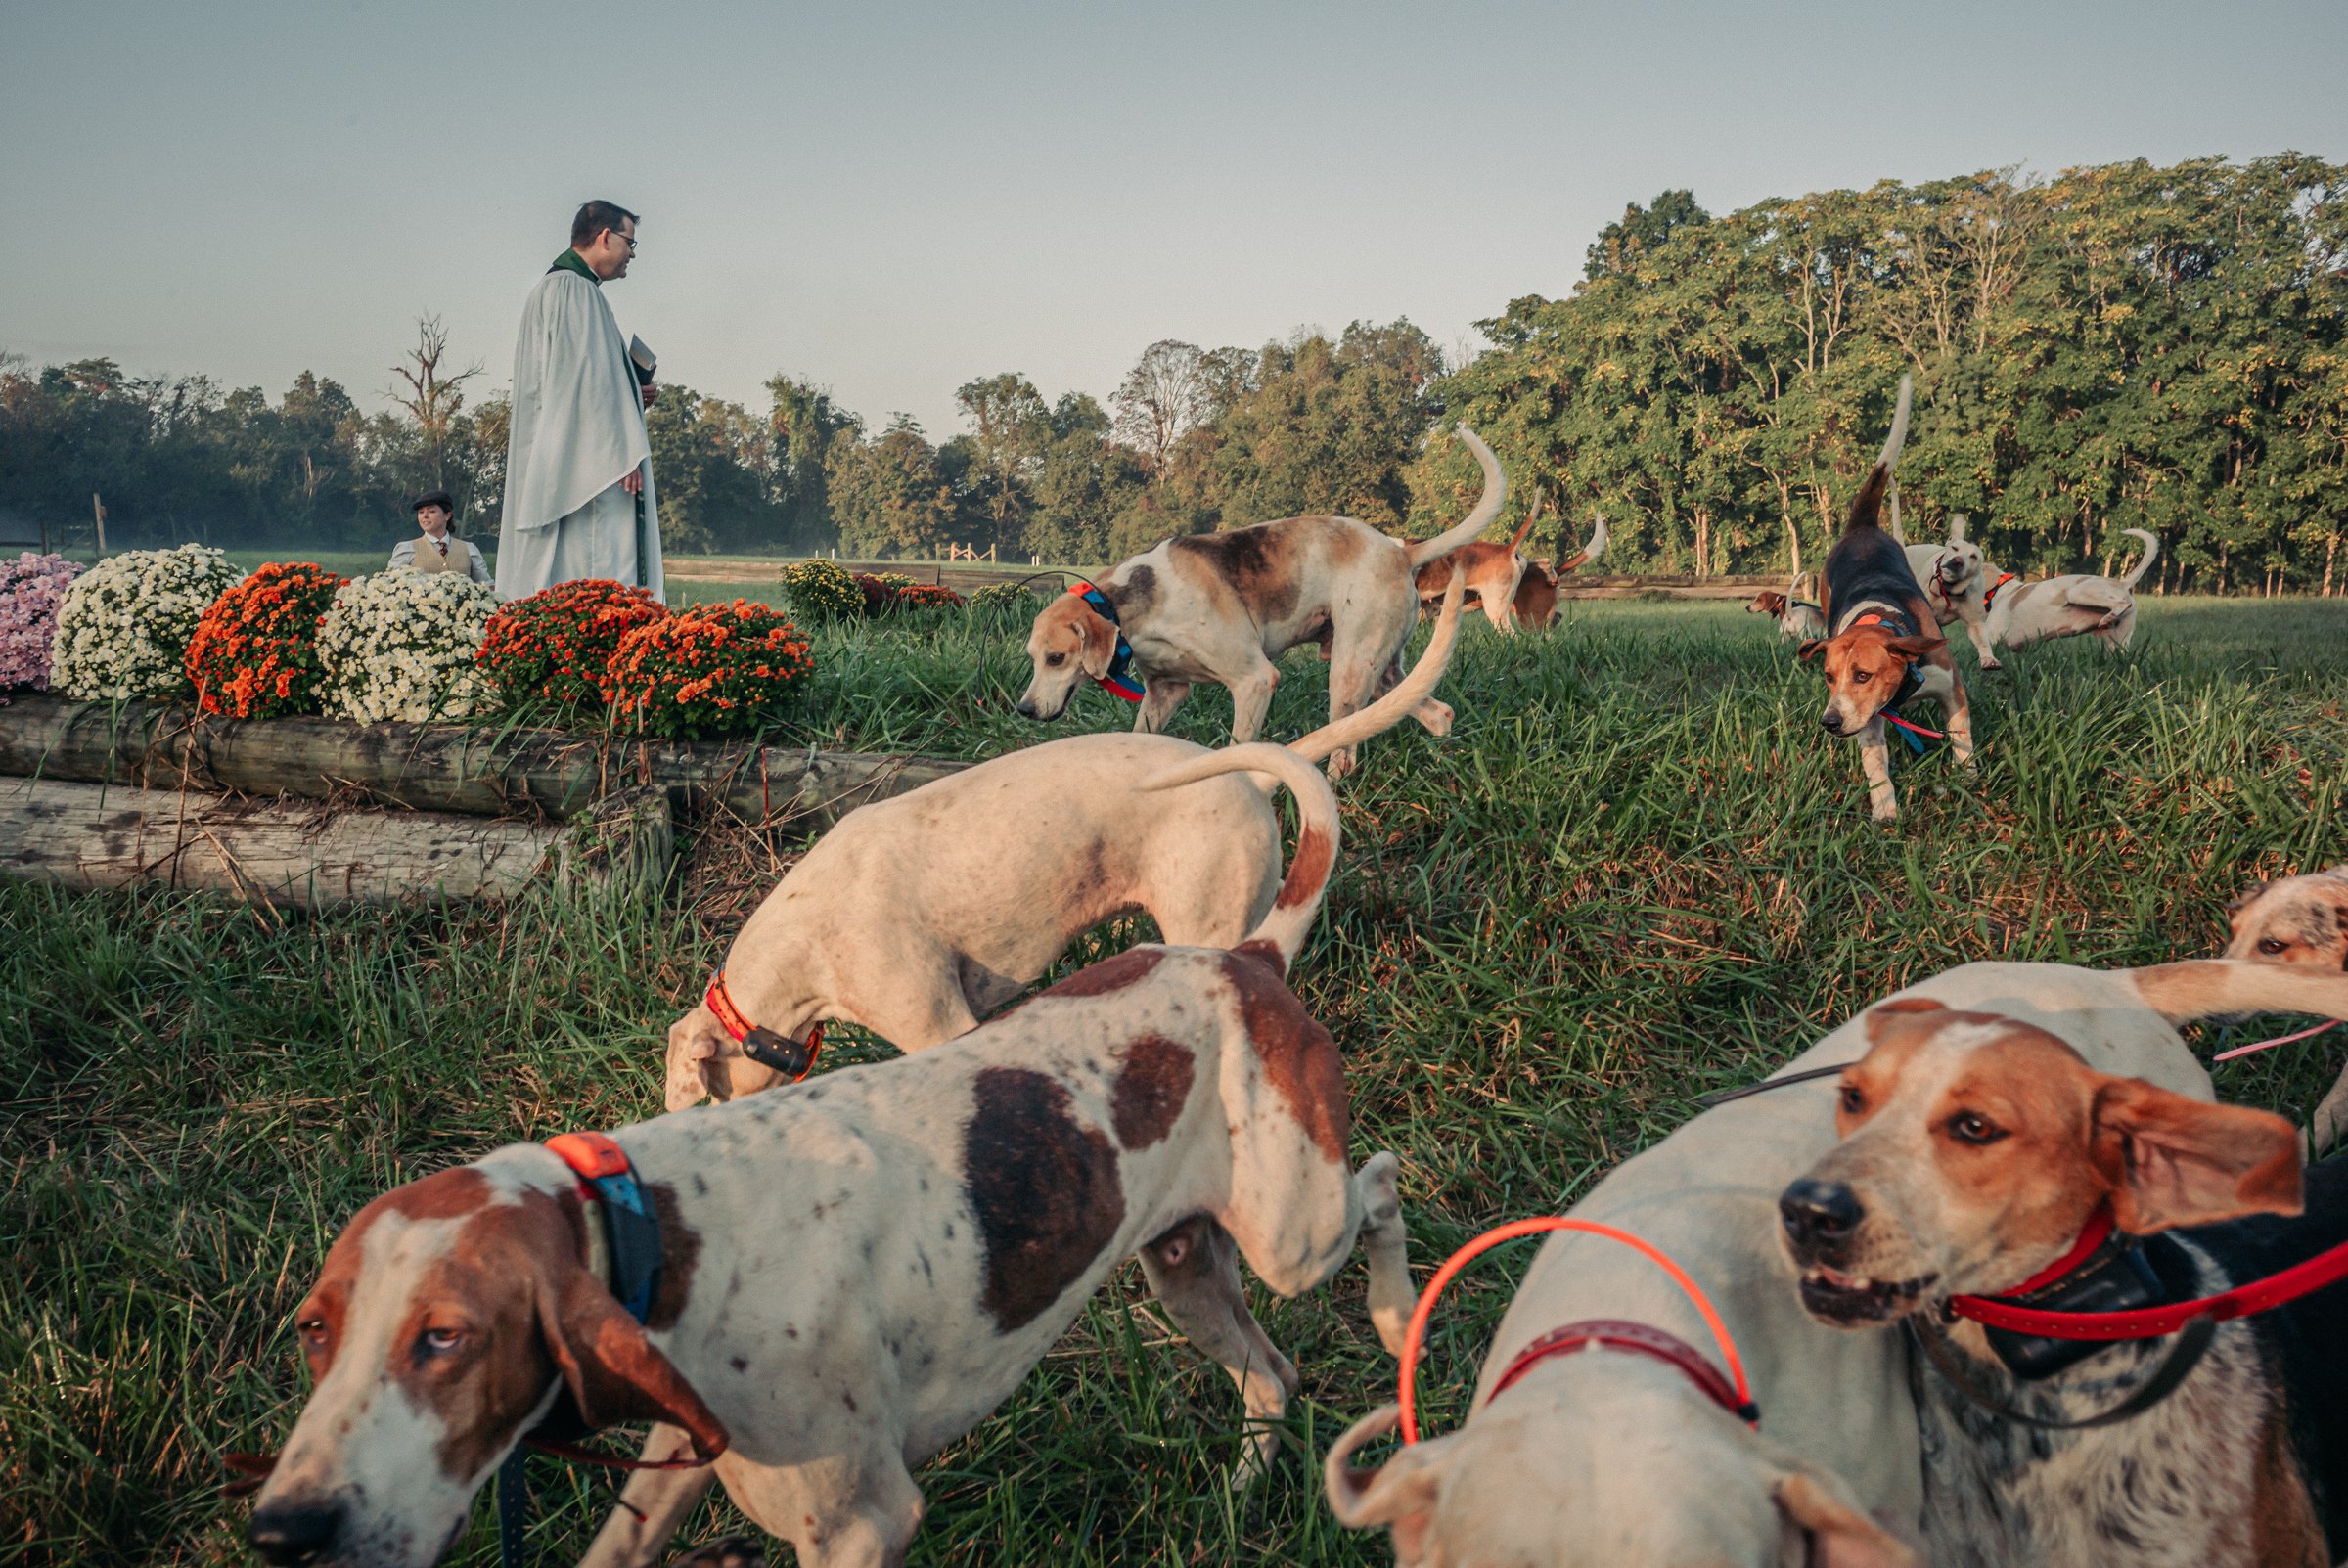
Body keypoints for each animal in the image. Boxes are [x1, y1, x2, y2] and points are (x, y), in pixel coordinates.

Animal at [238, 746, 1409, 1568]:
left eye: (444, 1340)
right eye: (314, 1332)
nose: (285, 1525)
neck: (664, 1235)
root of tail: (1249, 962)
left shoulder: (859, 1524)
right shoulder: (671, 1470)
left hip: (1293, 1231)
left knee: (1385, 1183)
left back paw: (1400, 1312)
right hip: (1189, 1261)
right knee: (1274, 1374)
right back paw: (1244, 1492)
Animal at [1010, 425, 1503, 774]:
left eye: (1056, 658)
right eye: (1032, 657)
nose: (1025, 711)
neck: (1129, 607)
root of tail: (1402, 550)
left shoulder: (1253, 682)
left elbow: (1239, 745)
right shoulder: (1165, 692)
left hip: (1348, 673)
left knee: (1346, 748)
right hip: (1381, 673)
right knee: (1438, 713)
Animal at [1793, 380, 1981, 821]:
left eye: (1863, 675)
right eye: (1828, 676)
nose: (1830, 721)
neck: (1879, 617)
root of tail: (1861, 527)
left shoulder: (1951, 687)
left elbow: (1961, 738)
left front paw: (1967, 778)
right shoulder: (1869, 719)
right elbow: (1875, 765)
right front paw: (1885, 811)